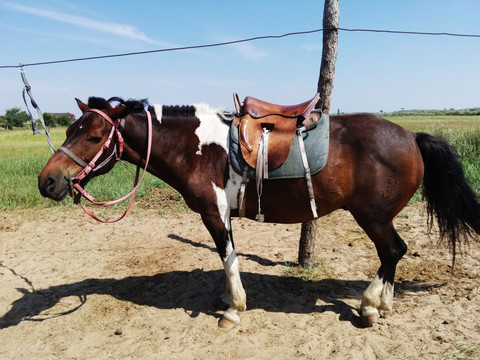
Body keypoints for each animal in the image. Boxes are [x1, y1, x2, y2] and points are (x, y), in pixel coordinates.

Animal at [38, 95, 480, 326]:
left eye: (94, 136)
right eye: (69, 130)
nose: (48, 181)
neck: (196, 146)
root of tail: (410, 135)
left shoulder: (214, 214)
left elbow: (228, 257)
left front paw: (233, 309)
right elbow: (226, 259)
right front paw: (225, 299)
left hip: (372, 216)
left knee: (392, 251)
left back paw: (370, 307)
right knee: (394, 254)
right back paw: (384, 304)